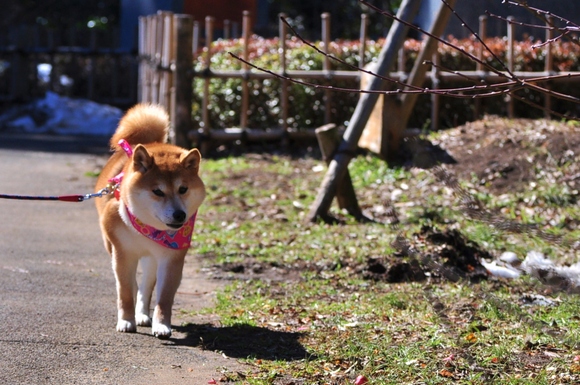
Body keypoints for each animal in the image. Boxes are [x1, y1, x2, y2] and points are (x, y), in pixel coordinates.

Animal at [98, 103, 208, 338]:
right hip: (114, 248)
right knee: (131, 283)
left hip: (151, 258)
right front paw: (126, 320)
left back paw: (142, 314)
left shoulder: (171, 258)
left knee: (146, 285)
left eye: (183, 189)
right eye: (158, 191)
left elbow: (164, 297)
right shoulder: (122, 253)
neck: (149, 227)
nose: (179, 215)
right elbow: (125, 291)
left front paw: (162, 325)